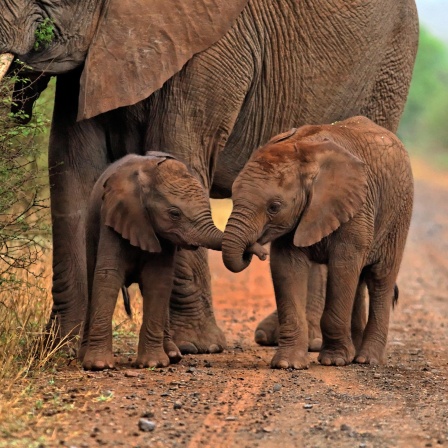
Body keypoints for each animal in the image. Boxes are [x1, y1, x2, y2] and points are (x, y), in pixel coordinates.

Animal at [80, 151, 224, 372]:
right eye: (174, 214)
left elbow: (158, 281)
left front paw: (154, 364)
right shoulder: (113, 216)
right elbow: (107, 276)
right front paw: (99, 366)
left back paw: (173, 355)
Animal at [222, 117, 414, 370]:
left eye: (274, 207)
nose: (257, 251)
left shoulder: (357, 207)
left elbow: (343, 265)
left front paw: (334, 361)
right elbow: (287, 267)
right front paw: (288, 364)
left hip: (399, 214)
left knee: (380, 278)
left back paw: (367, 359)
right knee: (359, 281)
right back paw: (355, 353)